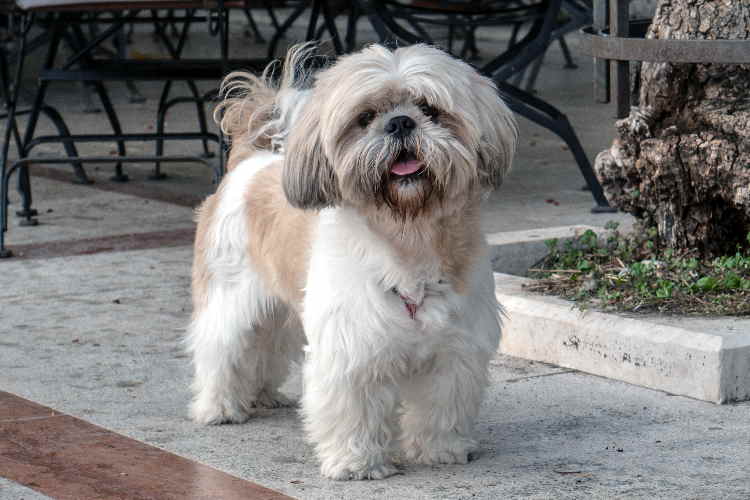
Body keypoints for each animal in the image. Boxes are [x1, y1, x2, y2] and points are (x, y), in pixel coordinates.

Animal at [187, 43, 516, 480]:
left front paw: (440, 449)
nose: (400, 123)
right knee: (221, 347)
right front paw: (356, 462)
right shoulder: (351, 346)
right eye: (365, 118)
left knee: (267, 345)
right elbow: (353, 408)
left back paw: (262, 394)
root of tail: (251, 162)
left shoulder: (455, 349)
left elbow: (442, 405)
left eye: (429, 109)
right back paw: (218, 406)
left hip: (281, 309)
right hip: (231, 295)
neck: (409, 235)